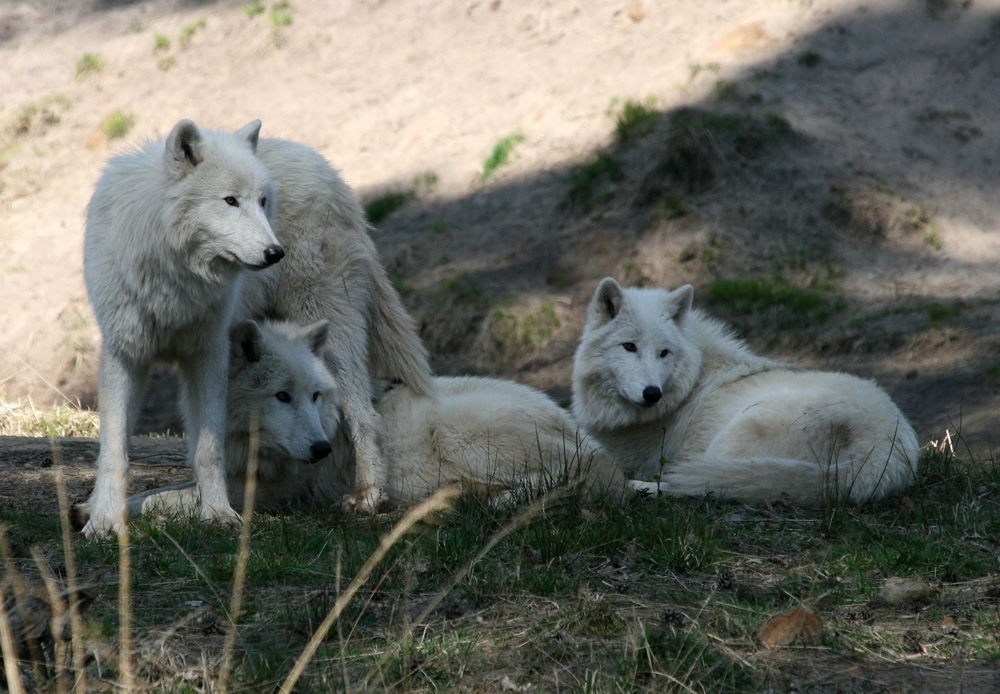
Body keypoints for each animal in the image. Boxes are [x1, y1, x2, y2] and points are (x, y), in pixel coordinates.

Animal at [83, 121, 430, 540]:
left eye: (263, 202)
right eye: (230, 200)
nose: (275, 253)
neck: (176, 275)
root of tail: (330, 173)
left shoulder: (210, 354)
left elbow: (209, 449)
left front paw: (217, 513)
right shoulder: (125, 354)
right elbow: (114, 451)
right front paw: (103, 520)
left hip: (328, 330)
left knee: (364, 415)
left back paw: (367, 496)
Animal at [88, 320, 640, 520]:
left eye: (315, 395)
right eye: (282, 396)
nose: (322, 451)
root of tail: (583, 433)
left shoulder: (274, 493)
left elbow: (173, 499)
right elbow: (160, 489)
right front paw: (96, 508)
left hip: (460, 433)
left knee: (567, 479)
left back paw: (492, 498)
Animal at [576, 278, 916, 506]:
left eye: (664, 353)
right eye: (629, 347)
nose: (652, 394)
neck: (692, 381)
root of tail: (880, 450)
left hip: (733, 438)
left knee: (692, 484)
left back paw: (639, 488)